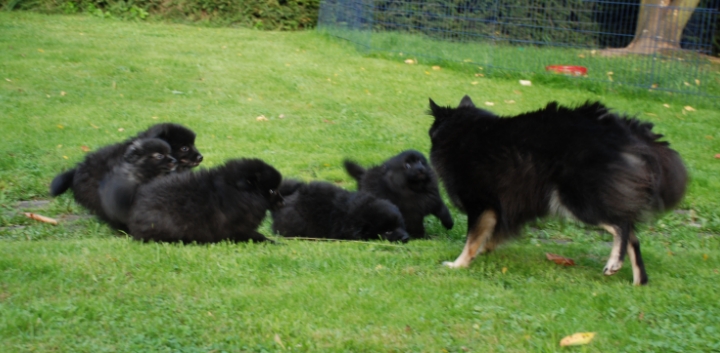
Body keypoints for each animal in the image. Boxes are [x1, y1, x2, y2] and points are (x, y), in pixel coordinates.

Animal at [428, 95, 688, 284]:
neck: (463, 131)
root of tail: (622, 129)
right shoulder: (509, 204)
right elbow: (492, 234)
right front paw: (484, 250)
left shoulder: (481, 204)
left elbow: (472, 239)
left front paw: (458, 264)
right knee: (633, 236)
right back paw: (639, 281)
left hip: (577, 199)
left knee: (622, 225)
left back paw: (614, 262)